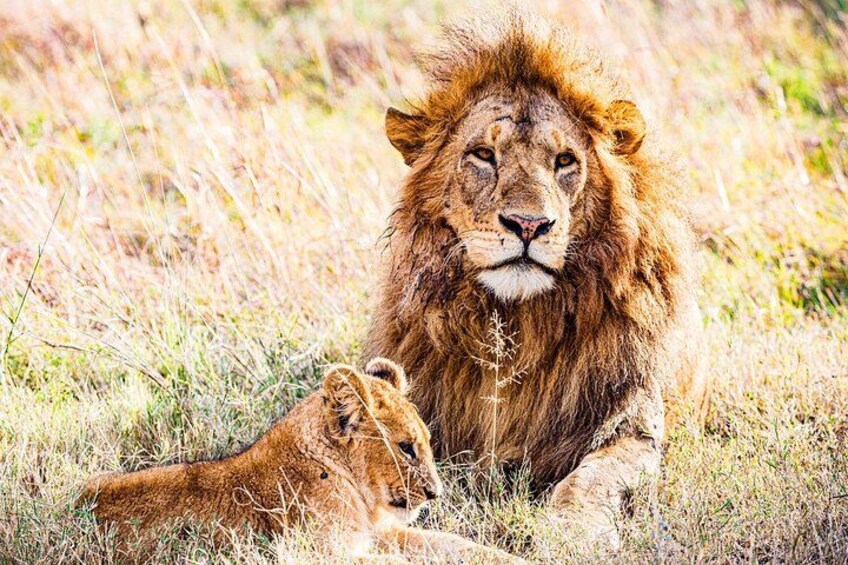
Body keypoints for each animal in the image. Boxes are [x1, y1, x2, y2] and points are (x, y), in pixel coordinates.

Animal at [79, 359, 519, 562]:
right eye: (406, 448)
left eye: (426, 442)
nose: (434, 494)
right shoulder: (321, 551)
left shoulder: (379, 533)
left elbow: (452, 544)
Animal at [365, 10, 711, 548]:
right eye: (483, 155)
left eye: (564, 161)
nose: (528, 225)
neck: (517, 323)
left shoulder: (632, 424)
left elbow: (594, 479)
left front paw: (571, 533)